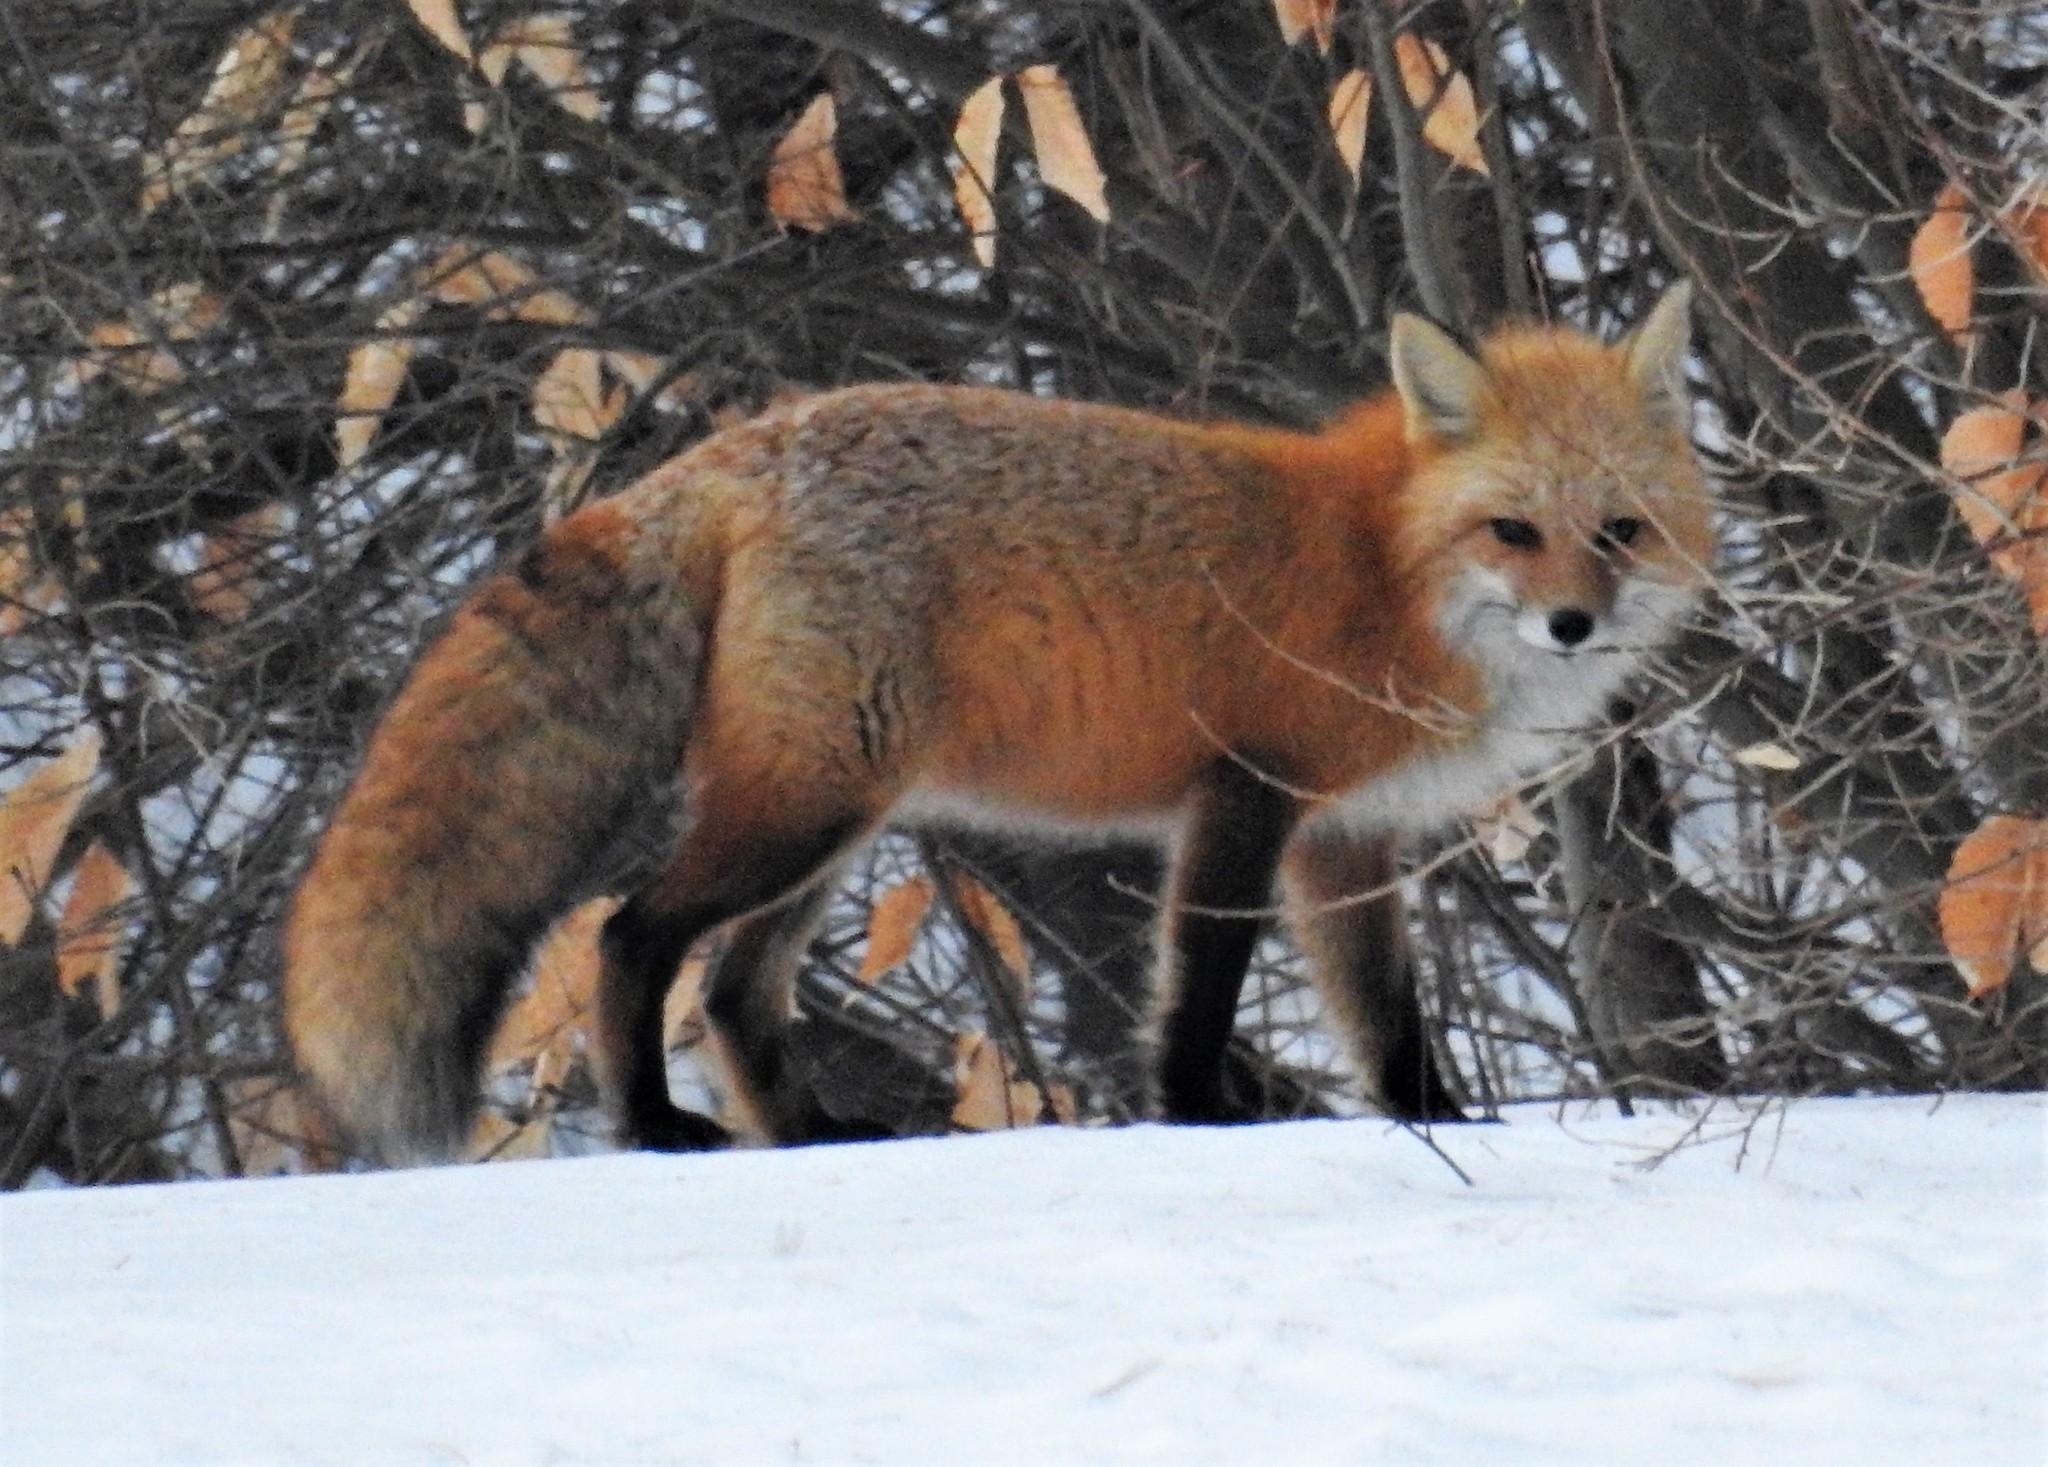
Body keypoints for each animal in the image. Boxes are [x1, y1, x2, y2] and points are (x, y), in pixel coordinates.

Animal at [283, 285, 1712, 1165]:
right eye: (1511, 532)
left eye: (1618, 531)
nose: (1571, 625)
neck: (1388, 572)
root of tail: (735, 452)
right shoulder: (1244, 794)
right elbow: (1198, 990)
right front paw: (1195, 1119)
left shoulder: (1345, 838)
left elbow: (1387, 1021)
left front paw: (1441, 1127)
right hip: (801, 812)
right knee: (633, 940)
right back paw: (653, 1128)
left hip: (832, 823)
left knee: (737, 990)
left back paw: (808, 1137)